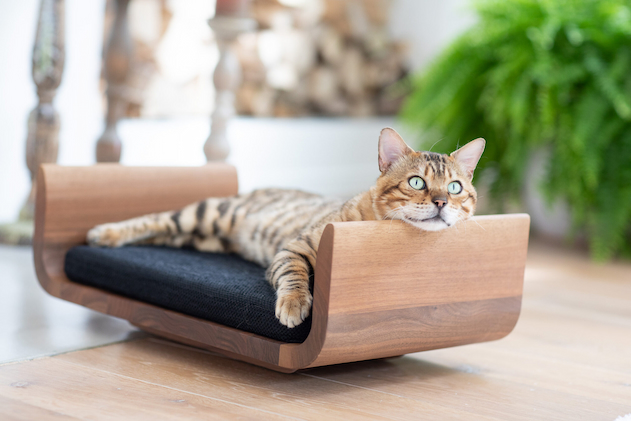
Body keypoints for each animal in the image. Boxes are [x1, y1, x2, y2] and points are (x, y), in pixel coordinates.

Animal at [86, 128, 486, 328]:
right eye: (417, 182)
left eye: (455, 188)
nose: (441, 202)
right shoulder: (294, 248)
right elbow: (294, 277)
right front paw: (294, 305)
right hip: (206, 214)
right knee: (155, 219)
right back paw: (105, 232)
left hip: (200, 237)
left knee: (164, 233)